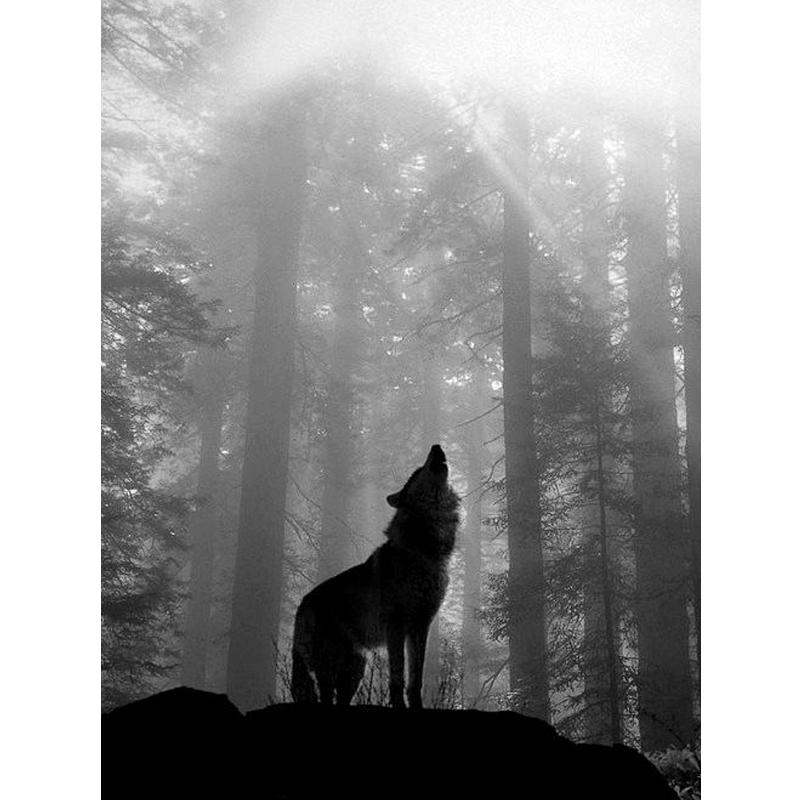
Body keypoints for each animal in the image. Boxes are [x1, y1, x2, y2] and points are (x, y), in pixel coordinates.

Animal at [291, 444, 460, 710]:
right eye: (418, 471)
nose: (436, 446)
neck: (425, 551)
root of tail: (302, 605)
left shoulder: (421, 625)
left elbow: (416, 678)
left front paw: (417, 706)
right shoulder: (396, 626)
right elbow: (397, 675)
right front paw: (399, 705)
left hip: (355, 669)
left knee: (340, 699)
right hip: (330, 666)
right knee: (326, 696)